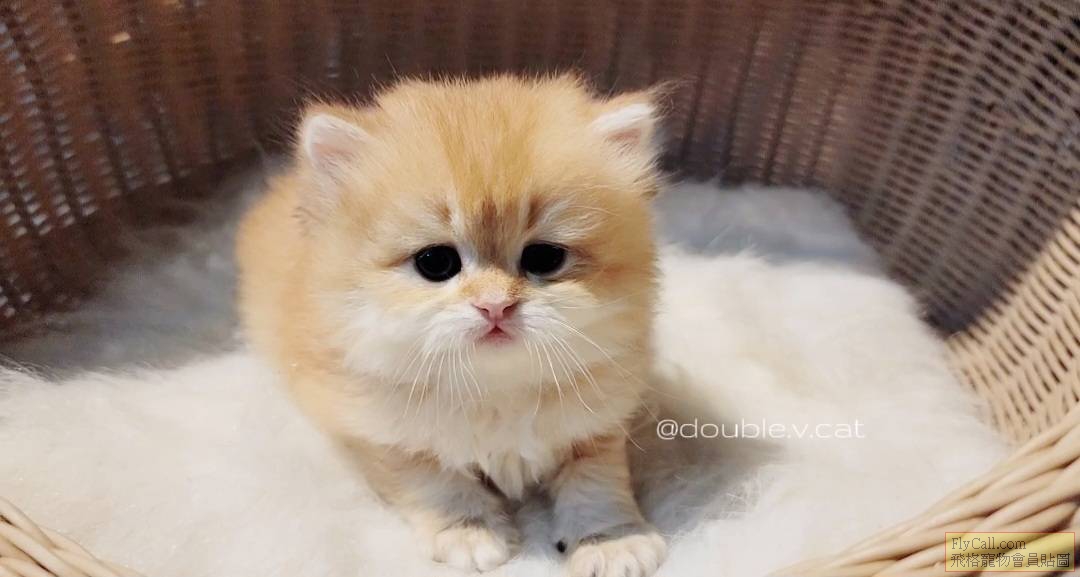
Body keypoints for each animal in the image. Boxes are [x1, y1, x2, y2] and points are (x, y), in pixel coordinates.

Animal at [237, 75, 667, 577]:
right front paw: (470, 533)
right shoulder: (383, 436)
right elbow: (438, 485)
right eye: (436, 263)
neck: (493, 390)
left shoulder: (598, 424)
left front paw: (611, 541)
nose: (495, 306)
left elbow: (596, 484)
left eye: (544, 258)